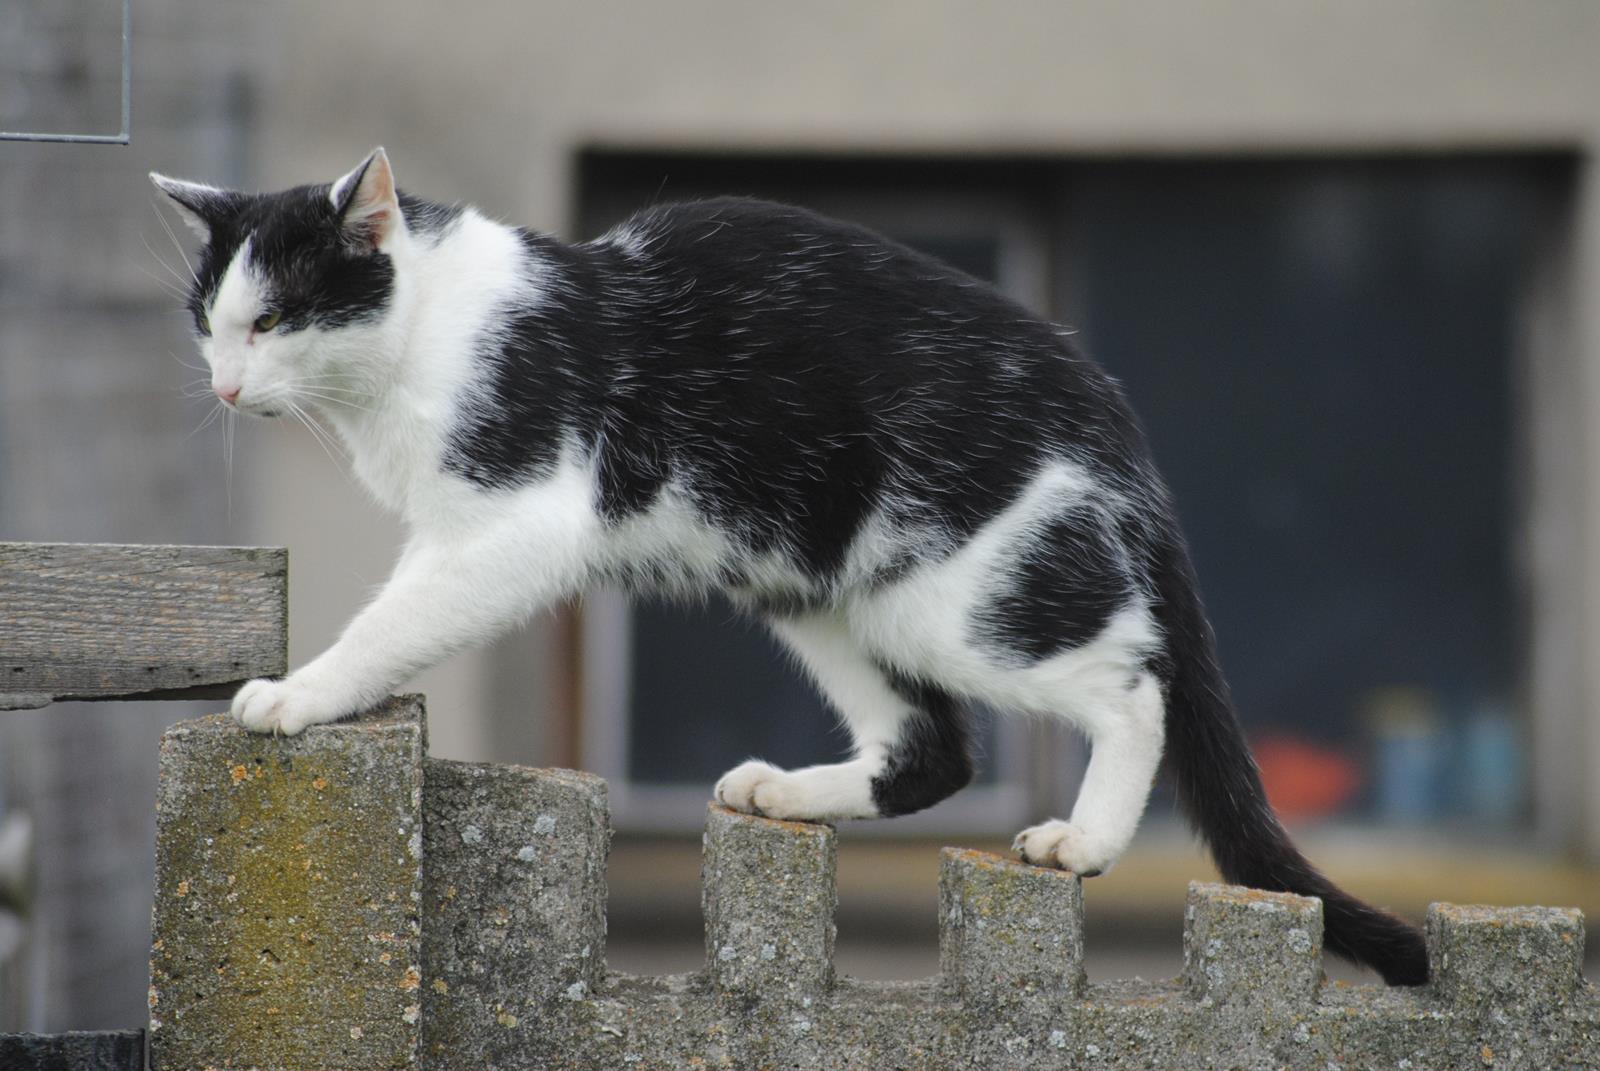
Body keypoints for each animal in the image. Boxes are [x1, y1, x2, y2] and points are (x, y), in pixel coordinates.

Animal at [147, 146, 1427, 979]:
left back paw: (1086, 838)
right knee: (932, 751)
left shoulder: (515, 520)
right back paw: (790, 792)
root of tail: (1102, 398)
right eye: (208, 324)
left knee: (1133, 685)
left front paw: (299, 694)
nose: (223, 388)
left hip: (966, 592)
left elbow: (390, 619)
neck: (423, 339)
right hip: (821, 586)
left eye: (274, 321)